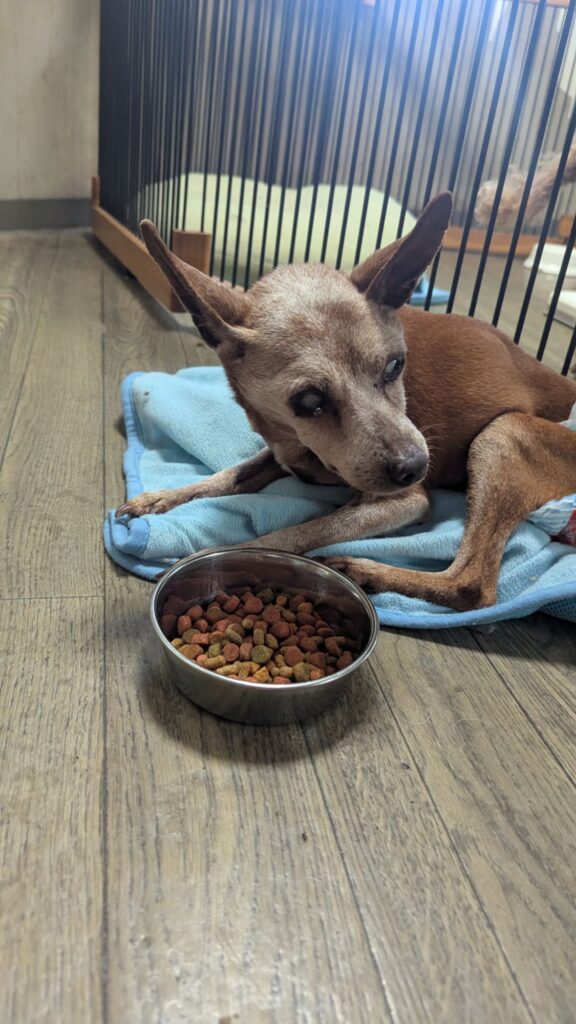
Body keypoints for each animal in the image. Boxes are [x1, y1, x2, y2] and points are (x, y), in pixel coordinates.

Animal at [116, 193, 576, 611]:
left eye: (395, 365)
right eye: (309, 400)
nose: (416, 467)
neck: (299, 445)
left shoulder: (405, 500)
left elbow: (293, 533)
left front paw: (209, 558)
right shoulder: (282, 453)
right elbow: (229, 475)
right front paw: (161, 498)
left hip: (503, 432)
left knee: (472, 584)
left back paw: (367, 570)